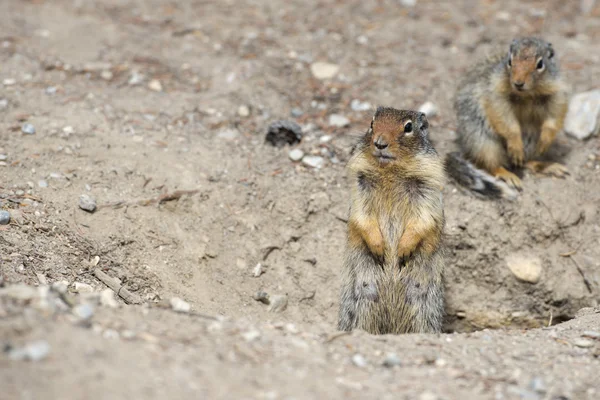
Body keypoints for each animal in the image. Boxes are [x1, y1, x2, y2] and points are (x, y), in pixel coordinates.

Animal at [338, 106, 446, 334]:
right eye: (372, 123)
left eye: (408, 127)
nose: (379, 143)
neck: (390, 172)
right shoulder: (360, 186)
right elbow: (362, 216)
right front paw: (379, 248)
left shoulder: (427, 187)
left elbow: (423, 219)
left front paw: (403, 250)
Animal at [448, 37, 568, 198]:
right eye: (510, 61)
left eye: (540, 64)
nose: (518, 83)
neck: (527, 94)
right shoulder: (497, 96)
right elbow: (507, 123)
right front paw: (515, 145)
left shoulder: (557, 94)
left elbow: (553, 119)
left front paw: (545, 141)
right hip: (483, 141)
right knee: (491, 165)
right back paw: (508, 175)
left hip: (530, 140)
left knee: (523, 163)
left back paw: (545, 165)